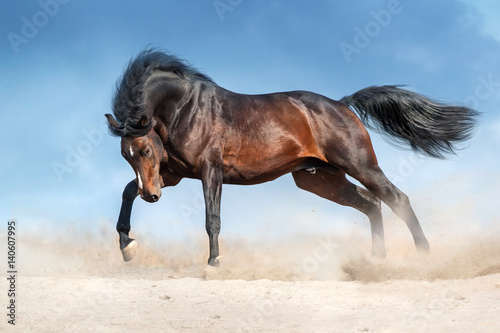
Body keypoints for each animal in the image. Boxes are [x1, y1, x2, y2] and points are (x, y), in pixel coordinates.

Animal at [104, 49, 476, 266]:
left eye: (145, 149)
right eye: (126, 155)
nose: (153, 196)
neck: (186, 108)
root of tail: (342, 104)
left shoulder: (210, 171)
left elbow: (212, 219)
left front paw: (213, 264)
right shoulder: (174, 174)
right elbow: (127, 191)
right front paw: (127, 246)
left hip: (360, 165)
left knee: (396, 199)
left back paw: (423, 257)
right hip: (322, 180)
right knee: (372, 204)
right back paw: (376, 261)